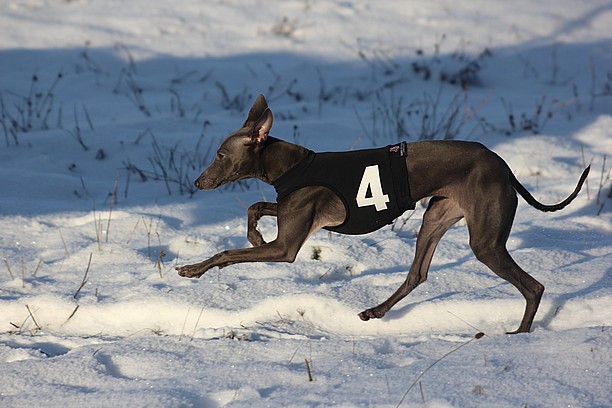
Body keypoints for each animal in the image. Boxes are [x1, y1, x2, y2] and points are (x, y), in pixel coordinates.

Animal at [176, 95, 588, 334]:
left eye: (221, 155)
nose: (197, 182)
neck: (293, 165)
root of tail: (503, 165)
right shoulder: (290, 217)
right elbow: (255, 207)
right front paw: (254, 233)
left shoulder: (287, 248)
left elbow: (227, 253)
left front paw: (192, 269)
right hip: (436, 217)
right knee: (417, 275)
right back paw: (375, 311)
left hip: (485, 242)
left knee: (533, 286)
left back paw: (519, 336)